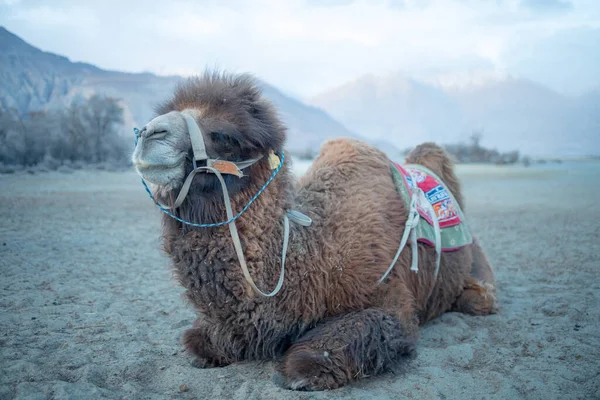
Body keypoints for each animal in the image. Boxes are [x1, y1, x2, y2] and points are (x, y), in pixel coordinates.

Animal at [134, 71, 500, 390]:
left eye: (225, 136)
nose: (148, 133)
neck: (314, 254)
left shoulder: (392, 298)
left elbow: (315, 357)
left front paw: (299, 370)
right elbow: (198, 341)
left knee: (479, 298)